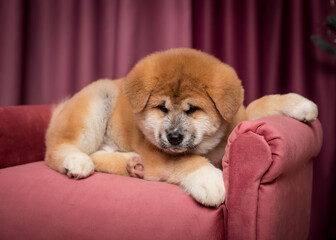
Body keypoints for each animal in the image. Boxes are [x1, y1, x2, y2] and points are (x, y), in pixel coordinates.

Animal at [45, 47, 318, 207]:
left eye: (192, 109)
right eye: (162, 108)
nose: (174, 137)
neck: (209, 146)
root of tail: (60, 107)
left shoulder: (238, 119)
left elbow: (262, 103)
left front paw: (300, 104)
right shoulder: (157, 154)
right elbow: (187, 161)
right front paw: (211, 180)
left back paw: (132, 165)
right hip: (98, 99)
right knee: (59, 150)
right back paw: (78, 162)